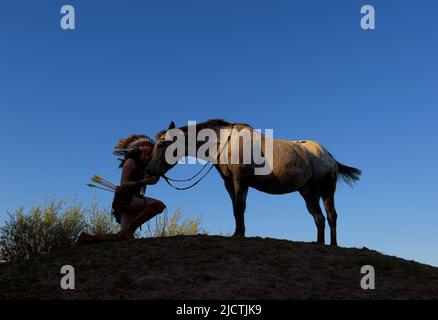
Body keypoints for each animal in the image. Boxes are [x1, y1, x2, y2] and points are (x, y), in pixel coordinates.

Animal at [147, 119, 360, 246]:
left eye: (163, 144)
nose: (149, 172)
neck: (226, 142)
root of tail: (329, 156)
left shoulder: (241, 181)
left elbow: (240, 206)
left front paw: (240, 234)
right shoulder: (229, 183)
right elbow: (235, 208)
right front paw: (237, 232)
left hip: (327, 190)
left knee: (331, 216)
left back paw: (333, 245)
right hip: (308, 193)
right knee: (319, 218)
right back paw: (319, 244)